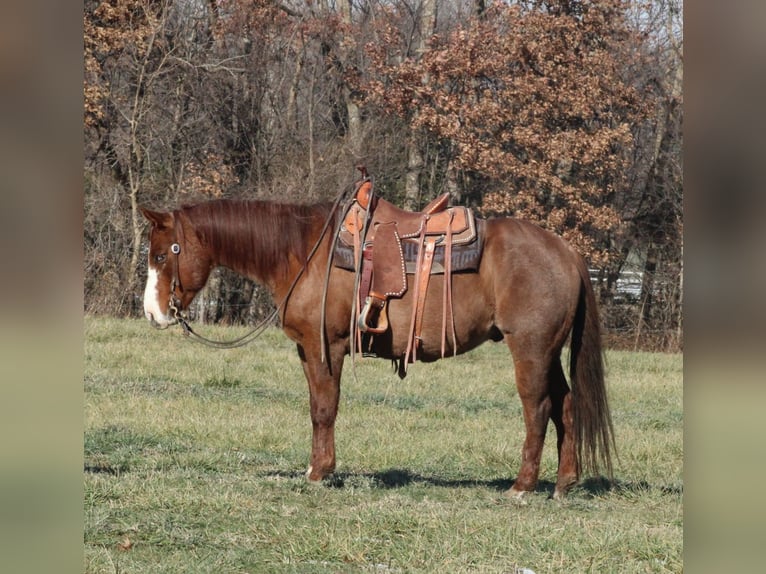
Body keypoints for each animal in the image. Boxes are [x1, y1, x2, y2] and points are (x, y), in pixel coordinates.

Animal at [139, 196, 615, 499]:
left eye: (162, 255)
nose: (152, 313)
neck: (302, 252)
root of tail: (567, 252)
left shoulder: (325, 346)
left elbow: (324, 409)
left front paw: (320, 473)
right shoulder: (309, 351)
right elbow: (316, 408)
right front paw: (316, 467)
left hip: (530, 349)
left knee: (538, 408)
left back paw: (522, 486)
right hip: (549, 352)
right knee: (565, 405)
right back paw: (563, 483)